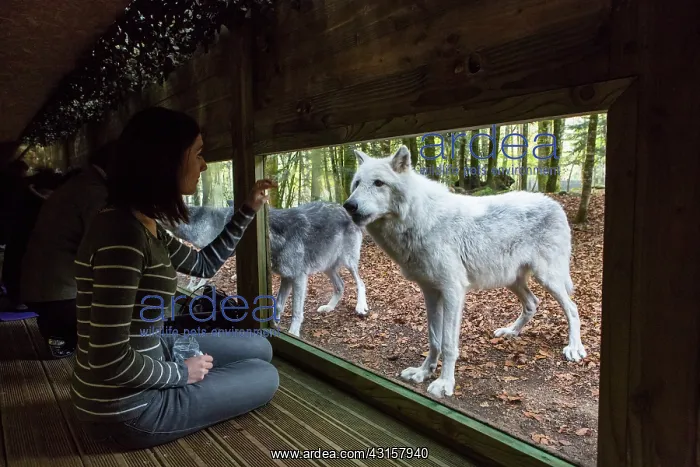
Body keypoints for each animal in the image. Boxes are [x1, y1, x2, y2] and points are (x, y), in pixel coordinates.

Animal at [161, 201, 369, 337]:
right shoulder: (287, 277)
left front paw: (293, 333)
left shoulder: (299, 278)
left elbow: (296, 312)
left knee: (360, 283)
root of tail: (345, 210)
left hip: (347, 263)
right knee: (340, 286)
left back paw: (360, 307)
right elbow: (278, 304)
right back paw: (329, 307)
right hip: (327, 267)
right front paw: (274, 324)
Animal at [342, 145, 585, 399]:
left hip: (548, 279)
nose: (349, 205)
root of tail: (554, 203)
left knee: (573, 309)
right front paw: (423, 372)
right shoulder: (430, 291)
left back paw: (574, 348)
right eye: (357, 184)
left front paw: (444, 383)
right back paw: (510, 332)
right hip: (512, 280)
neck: (420, 220)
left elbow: (448, 344)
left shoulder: (453, 291)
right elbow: (433, 338)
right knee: (532, 303)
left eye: (379, 183)